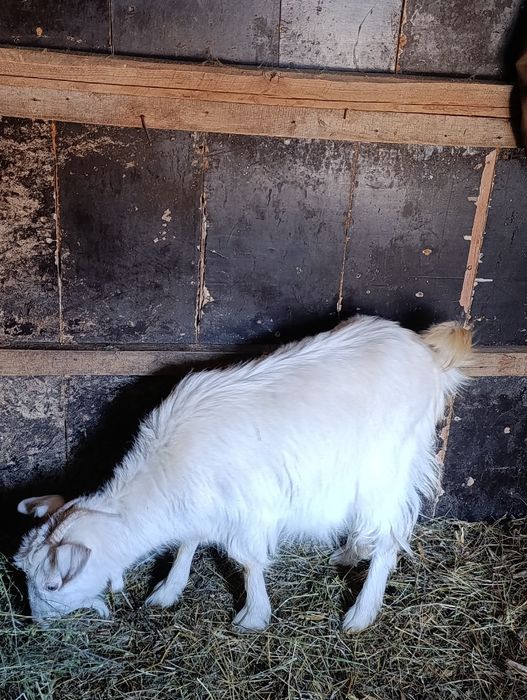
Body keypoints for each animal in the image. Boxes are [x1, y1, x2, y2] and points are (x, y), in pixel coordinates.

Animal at [14, 315, 472, 631]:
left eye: (52, 585)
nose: (37, 622)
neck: (165, 471)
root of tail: (427, 353)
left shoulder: (251, 504)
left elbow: (247, 560)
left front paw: (253, 615)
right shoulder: (201, 501)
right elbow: (188, 541)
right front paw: (167, 590)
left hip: (388, 468)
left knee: (389, 538)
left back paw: (360, 614)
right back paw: (348, 553)